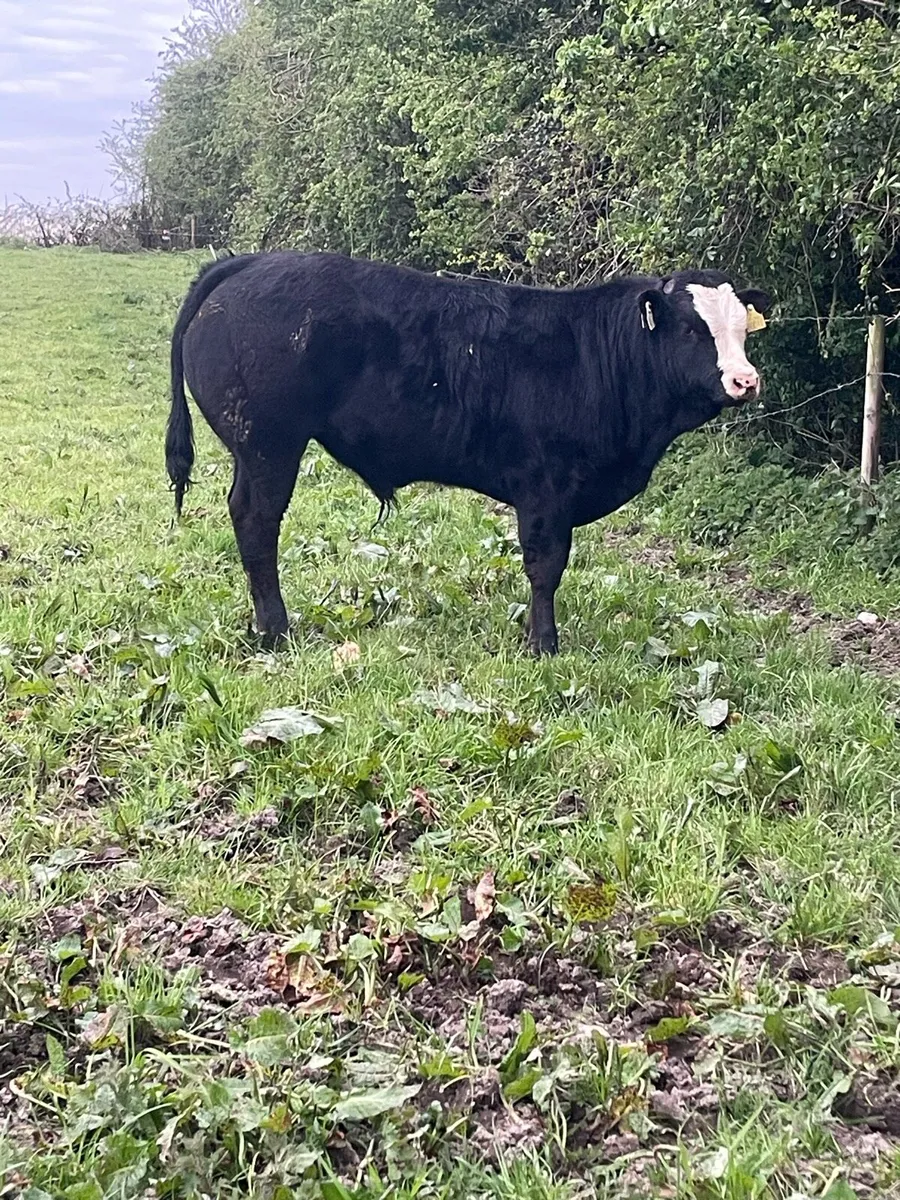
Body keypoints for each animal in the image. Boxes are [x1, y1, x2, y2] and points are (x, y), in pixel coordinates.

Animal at [166, 252, 771, 654]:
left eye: (743, 329)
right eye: (692, 329)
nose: (745, 380)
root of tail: (251, 262)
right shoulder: (546, 490)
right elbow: (546, 567)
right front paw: (543, 643)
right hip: (268, 445)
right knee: (256, 521)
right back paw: (275, 629)